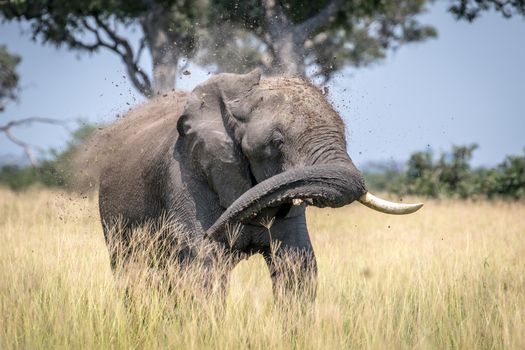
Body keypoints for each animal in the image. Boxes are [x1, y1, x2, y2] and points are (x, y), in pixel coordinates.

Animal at [87, 70, 422, 300]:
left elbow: (297, 267)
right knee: (134, 274)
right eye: (276, 142)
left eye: (344, 133)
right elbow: (204, 267)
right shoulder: (185, 180)